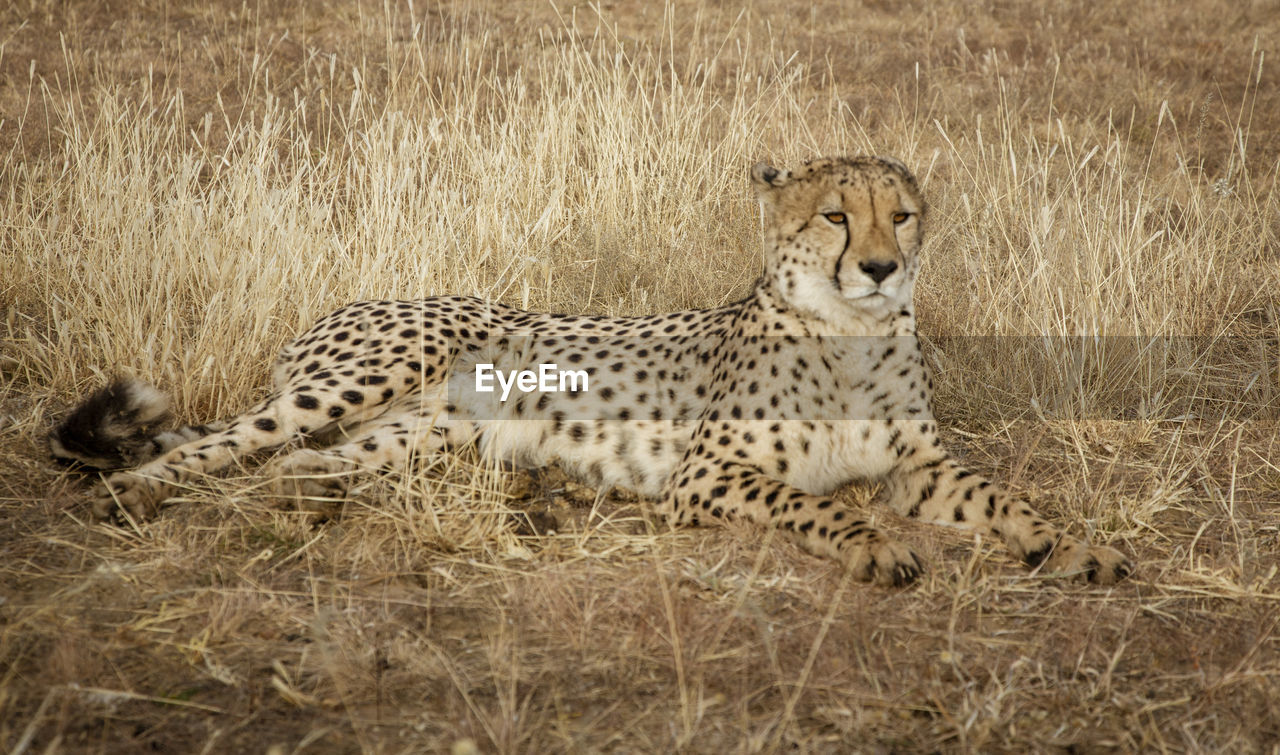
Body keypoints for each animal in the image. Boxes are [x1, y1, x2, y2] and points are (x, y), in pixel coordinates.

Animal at [49, 156, 1131, 588]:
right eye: (835, 215)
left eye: (899, 215)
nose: (879, 266)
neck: (849, 336)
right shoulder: (708, 472)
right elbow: (819, 503)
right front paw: (875, 546)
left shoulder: (918, 465)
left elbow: (1005, 500)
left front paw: (1075, 545)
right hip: (375, 368)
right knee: (233, 447)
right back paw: (128, 498)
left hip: (423, 431)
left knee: (297, 466)